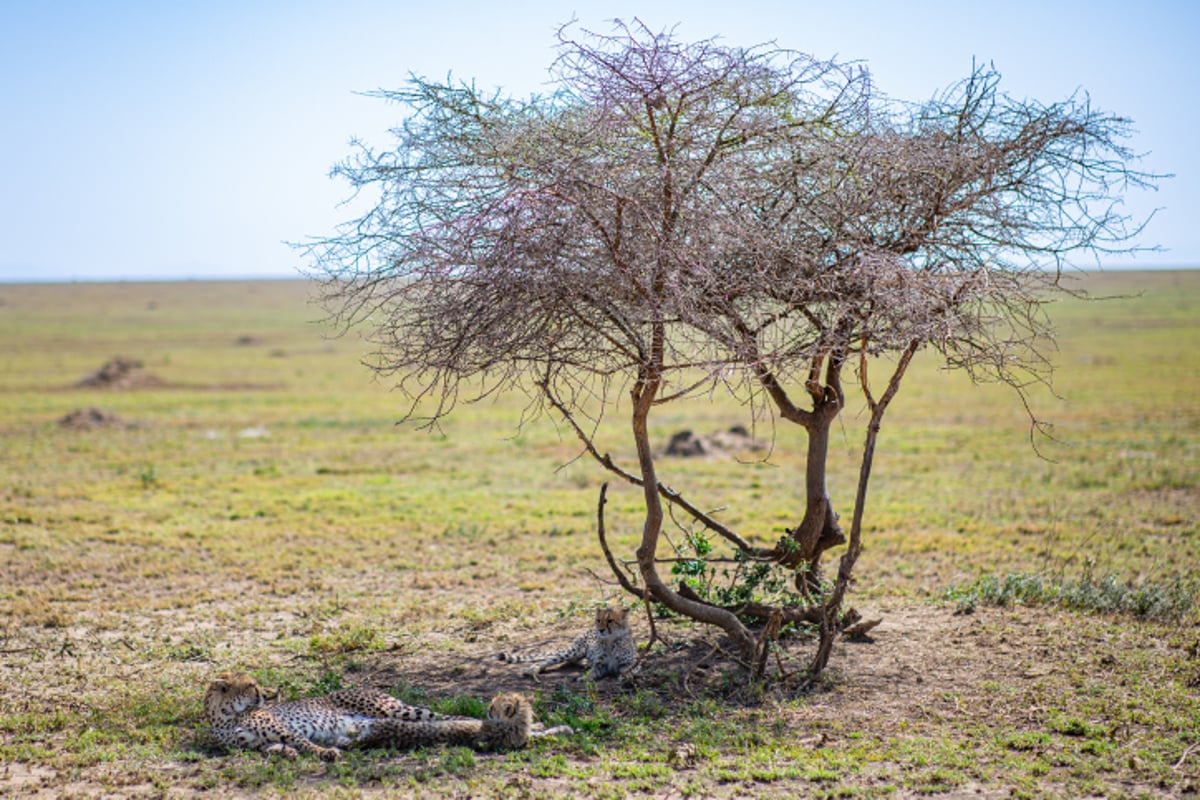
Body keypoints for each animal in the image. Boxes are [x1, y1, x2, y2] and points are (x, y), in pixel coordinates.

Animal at [202, 671, 566, 762]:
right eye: (250, 685)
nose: (266, 693)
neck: (225, 718)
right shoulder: (254, 744)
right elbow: (273, 747)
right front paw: (285, 753)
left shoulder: (283, 728)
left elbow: (305, 743)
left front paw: (325, 753)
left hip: (398, 709)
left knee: (452, 716)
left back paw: (554, 726)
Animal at [499, 606, 643, 681]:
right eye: (598, 620)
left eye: (610, 621)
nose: (600, 630)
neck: (610, 640)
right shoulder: (600, 664)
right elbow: (593, 671)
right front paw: (585, 678)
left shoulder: (632, 661)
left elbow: (629, 668)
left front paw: (626, 675)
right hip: (573, 651)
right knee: (548, 661)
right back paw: (533, 670)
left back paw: (585, 663)